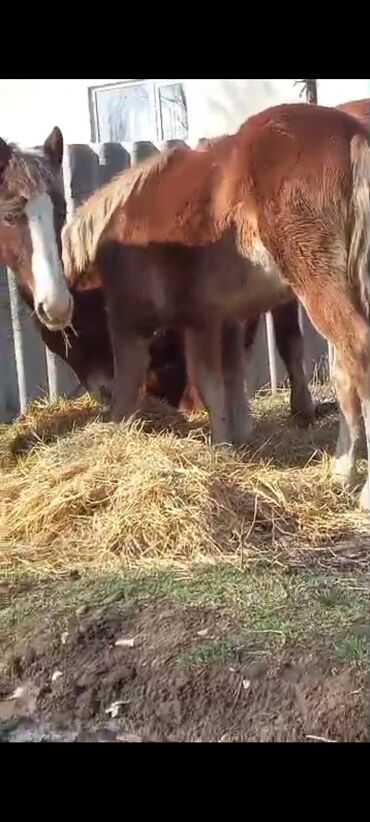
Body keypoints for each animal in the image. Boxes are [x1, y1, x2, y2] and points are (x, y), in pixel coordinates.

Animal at [62, 101, 370, 508]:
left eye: (67, 333)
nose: (97, 391)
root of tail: (353, 134)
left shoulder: (146, 323)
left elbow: (169, 385)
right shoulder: (225, 319)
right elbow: (229, 377)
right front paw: (236, 441)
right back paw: (344, 473)